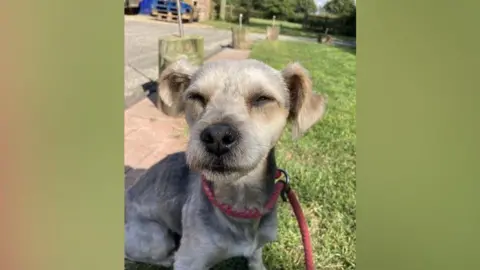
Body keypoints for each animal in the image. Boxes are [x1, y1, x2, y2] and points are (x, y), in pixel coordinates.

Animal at [124, 56, 328, 268]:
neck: (239, 200)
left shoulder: (258, 246)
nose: (217, 136)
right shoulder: (190, 260)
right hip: (157, 238)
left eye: (263, 99)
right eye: (196, 97)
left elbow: (256, 260)